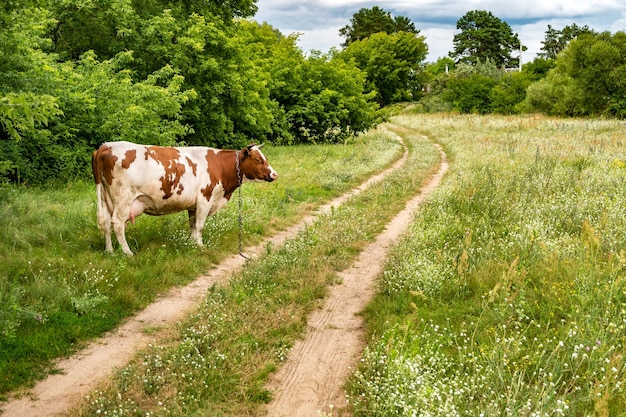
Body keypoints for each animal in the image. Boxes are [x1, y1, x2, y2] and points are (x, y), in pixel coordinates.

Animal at [91, 141, 276, 255]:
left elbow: (193, 225)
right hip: (123, 199)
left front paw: (193, 244)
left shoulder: (193, 205)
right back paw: (128, 252)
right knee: (117, 223)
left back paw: (109, 251)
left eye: (265, 158)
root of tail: (106, 146)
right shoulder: (205, 199)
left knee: (106, 223)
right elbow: (200, 226)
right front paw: (201, 246)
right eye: (259, 160)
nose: (275, 174)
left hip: (106, 198)